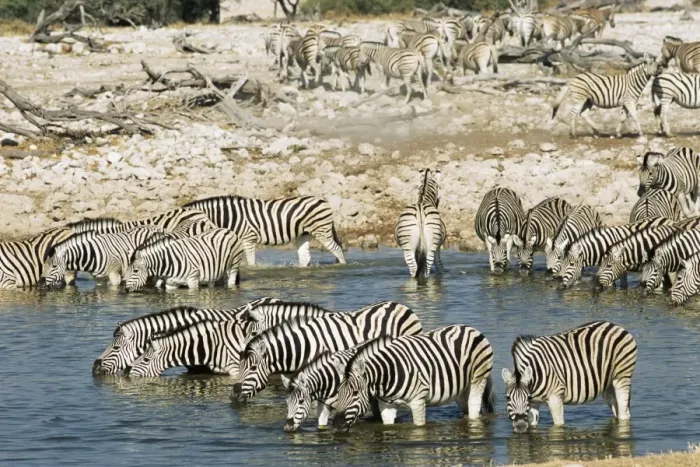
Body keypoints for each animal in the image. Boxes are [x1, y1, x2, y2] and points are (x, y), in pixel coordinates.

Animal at [183, 195, 344, 267]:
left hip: (322, 231)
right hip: (304, 234)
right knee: (305, 257)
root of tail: (323, 200)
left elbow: (251, 262)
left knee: (337, 250)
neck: (232, 217)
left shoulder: (248, 238)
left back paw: (342, 267)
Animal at [332, 324, 495, 430]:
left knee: (474, 409)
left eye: (355, 393)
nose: (337, 424)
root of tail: (471, 329)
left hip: (478, 379)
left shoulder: (418, 402)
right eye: (338, 392)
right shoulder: (386, 405)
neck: (388, 374)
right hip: (462, 389)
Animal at [502, 321, 637, 432]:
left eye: (527, 397)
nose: (520, 426)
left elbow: (558, 425)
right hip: (608, 385)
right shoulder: (534, 403)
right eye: (507, 398)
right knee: (618, 410)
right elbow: (533, 424)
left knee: (623, 414)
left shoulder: (555, 398)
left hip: (622, 376)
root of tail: (614, 325)